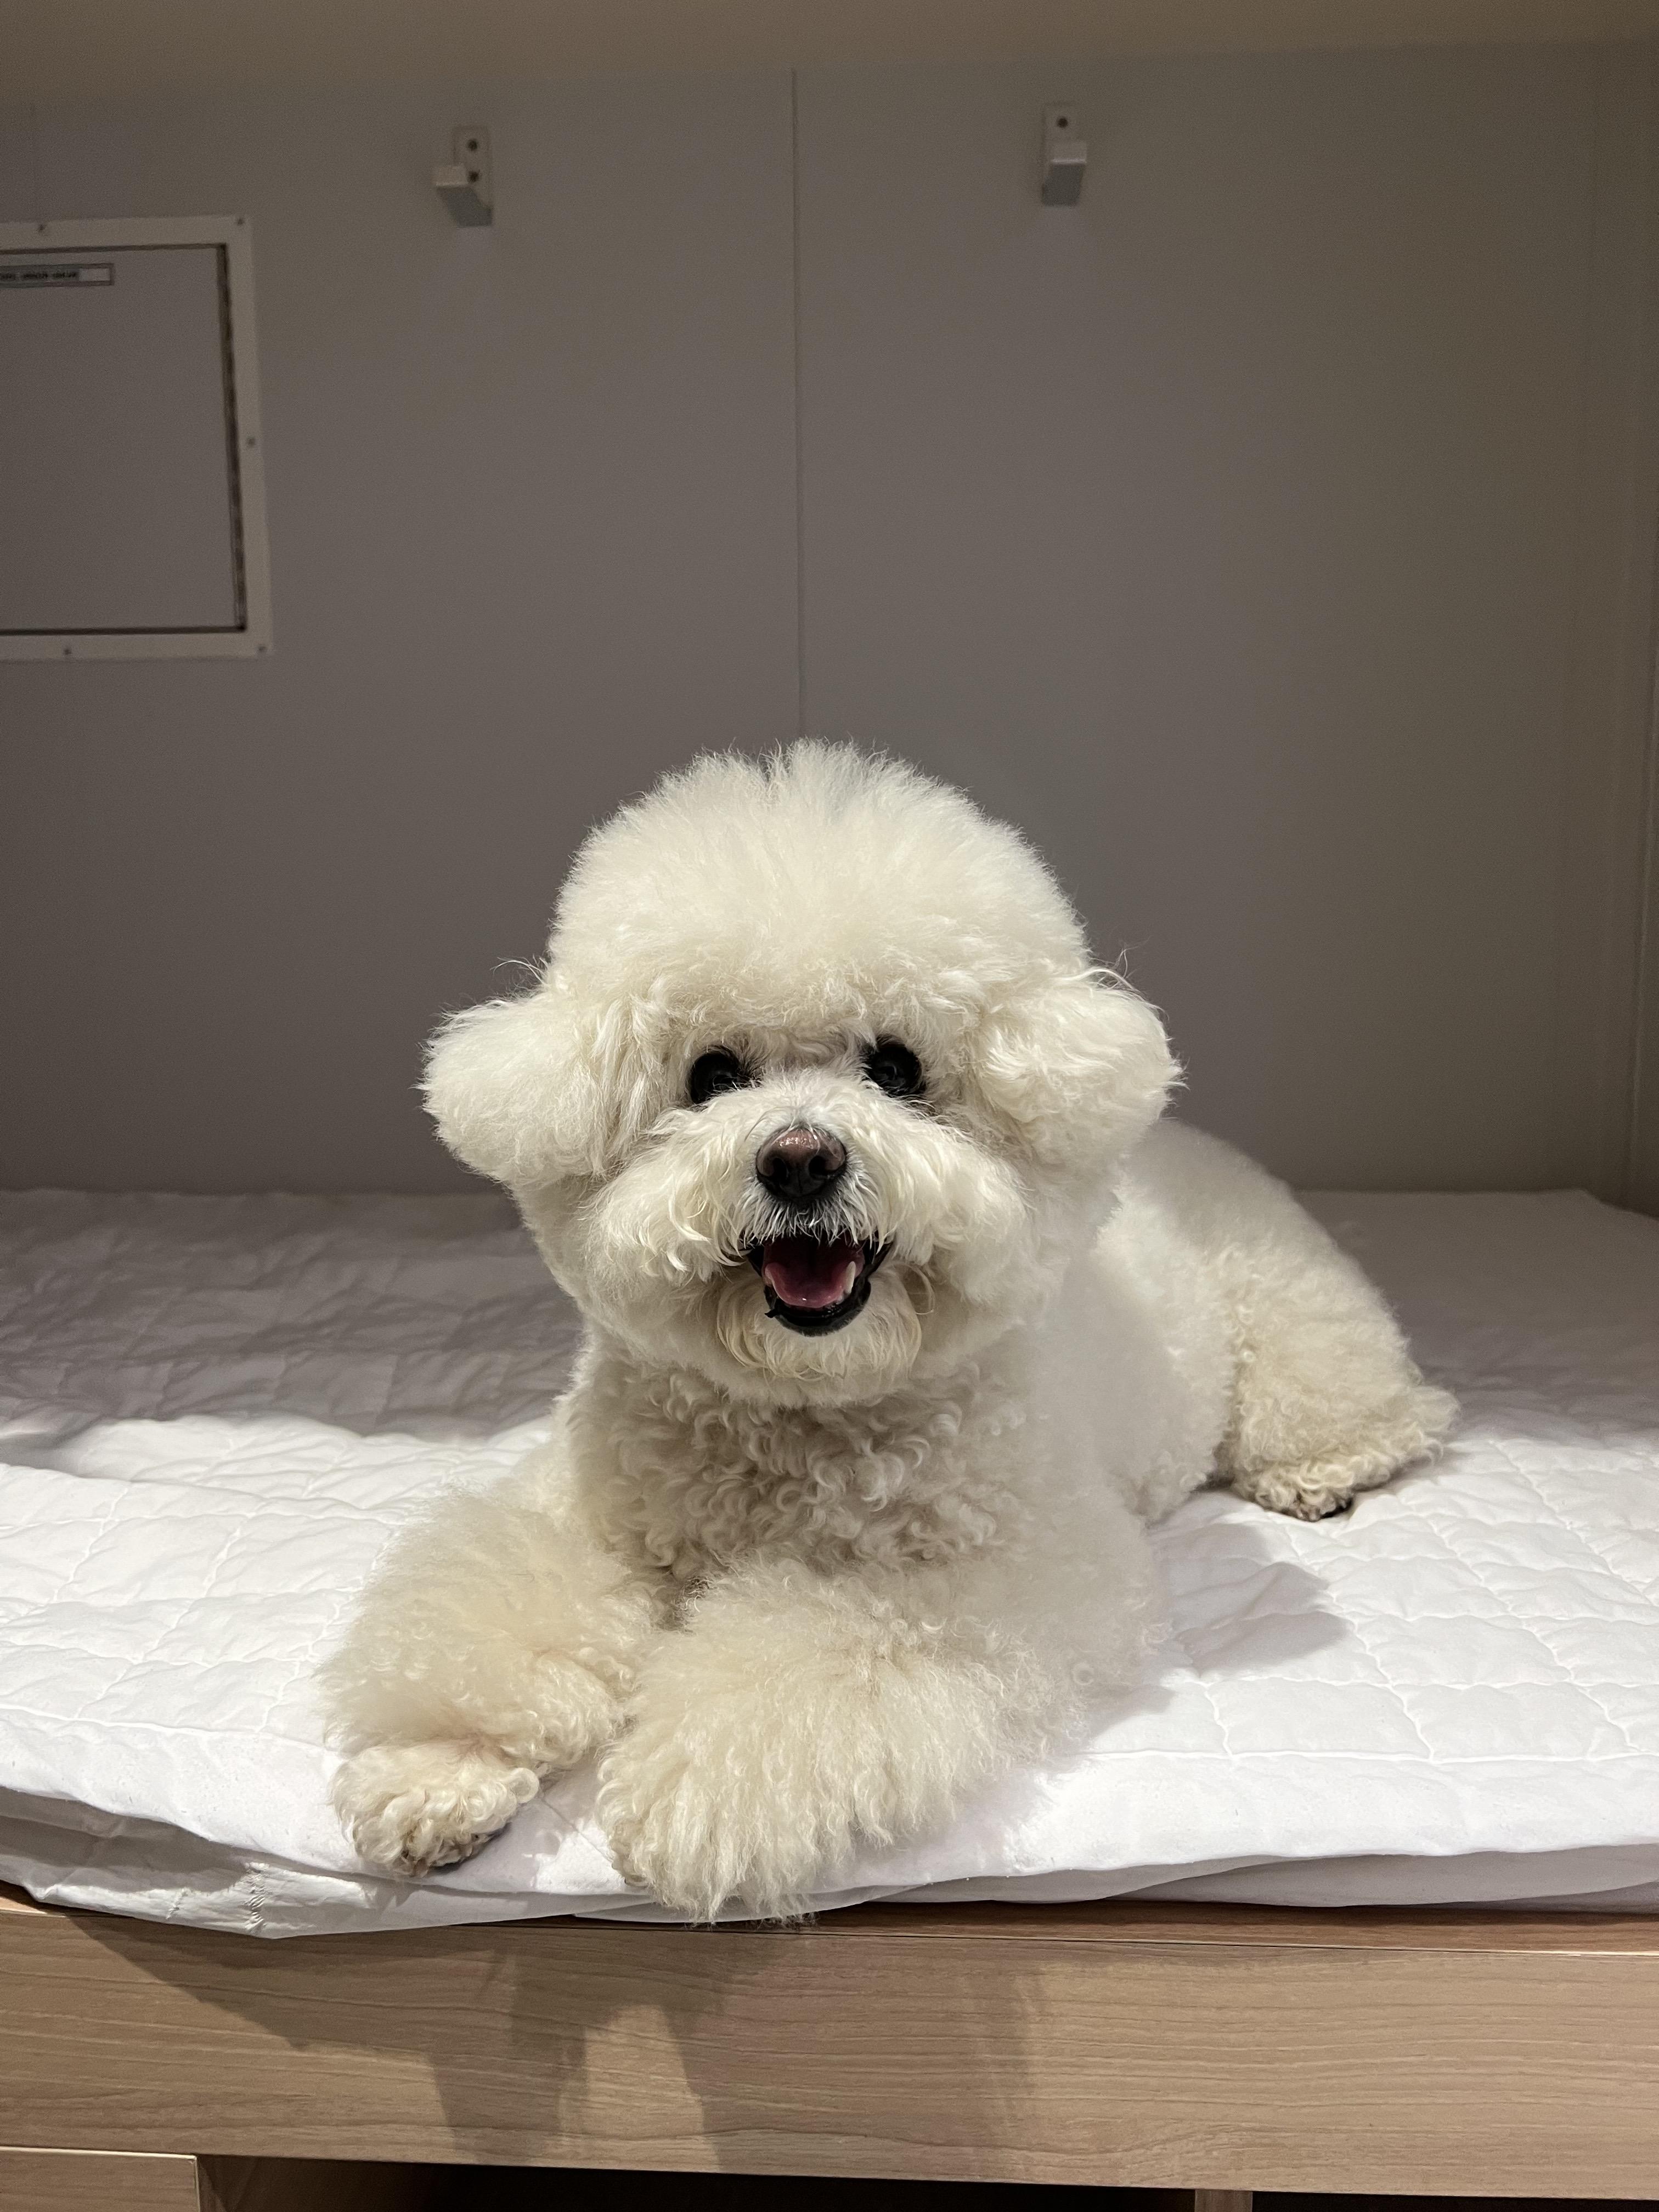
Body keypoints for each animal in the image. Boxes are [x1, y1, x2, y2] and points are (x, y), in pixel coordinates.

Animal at [323, 744, 1454, 1917]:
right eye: (712, 1074)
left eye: (897, 1068)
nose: (799, 1159)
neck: (798, 1412)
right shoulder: (585, 1516)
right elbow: (504, 1605)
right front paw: (441, 1765)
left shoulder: (1013, 1571)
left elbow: (815, 1652)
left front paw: (698, 1794)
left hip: (1287, 1314)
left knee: (1348, 1395)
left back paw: (1324, 1466)